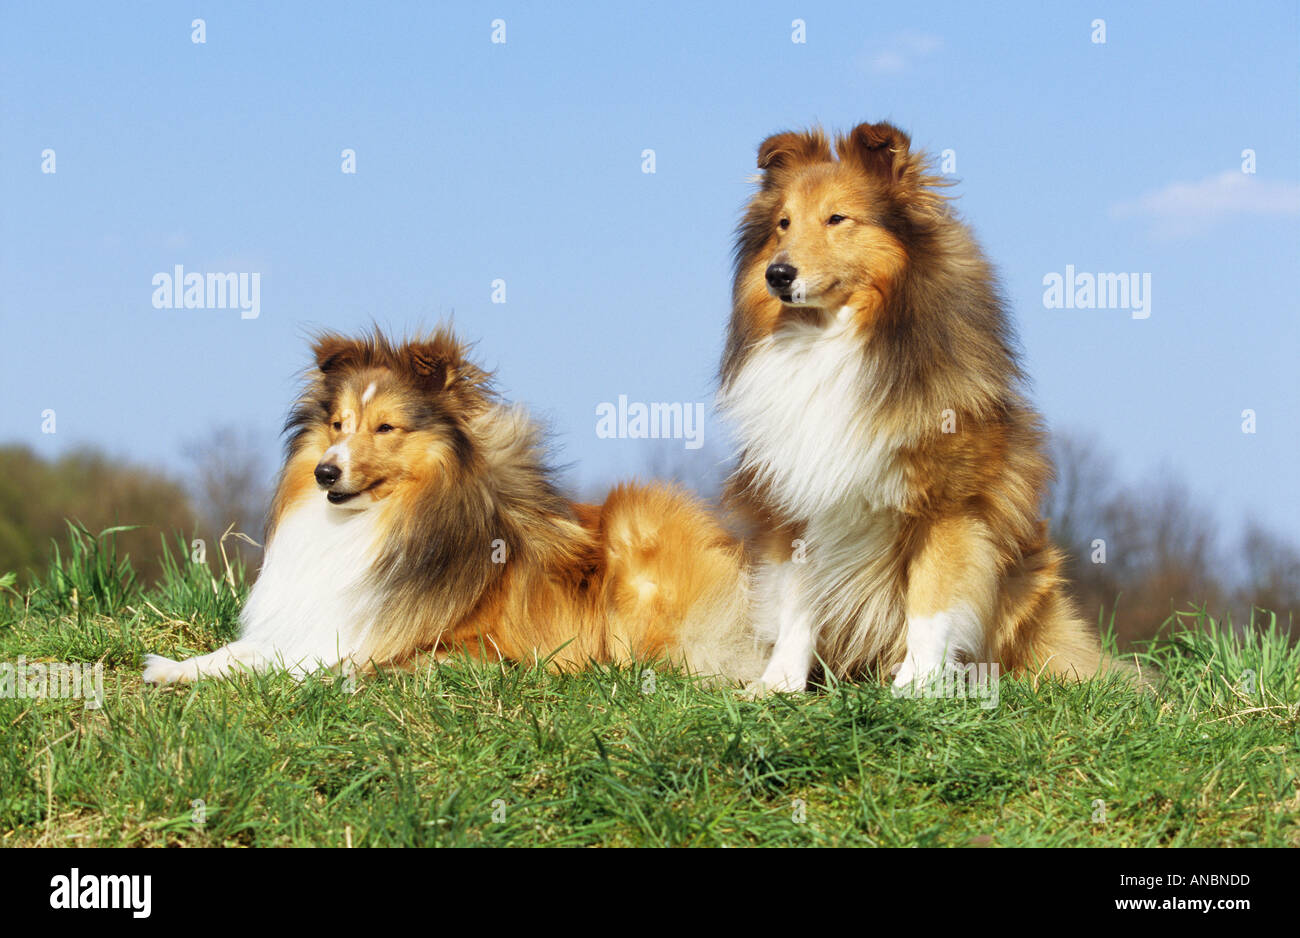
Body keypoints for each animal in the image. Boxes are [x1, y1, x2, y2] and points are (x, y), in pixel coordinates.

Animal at [147, 324, 764, 680]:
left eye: (386, 427)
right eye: (339, 424)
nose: (325, 473)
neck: (375, 525)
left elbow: (320, 660)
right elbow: (247, 651)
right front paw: (174, 668)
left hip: (639, 527)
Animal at [722, 120, 1138, 691]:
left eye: (837, 218)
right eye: (783, 224)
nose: (777, 275)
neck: (836, 340)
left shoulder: (949, 506)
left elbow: (932, 601)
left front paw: (916, 687)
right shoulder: (797, 502)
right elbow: (797, 604)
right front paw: (778, 685)